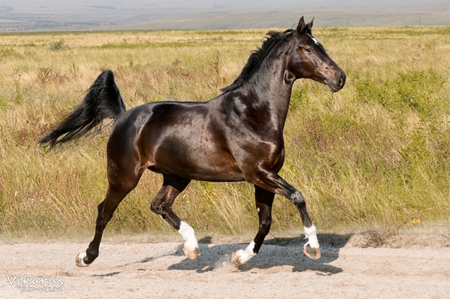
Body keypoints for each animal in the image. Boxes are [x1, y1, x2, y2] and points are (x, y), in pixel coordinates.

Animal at [39, 17, 348, 270]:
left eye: (321, 46)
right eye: (308, 49)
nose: (340, 78)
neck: (253, 112)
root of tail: (123, 116)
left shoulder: (266, 176)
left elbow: (265, 222)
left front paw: (239, 258)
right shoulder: (257, 173)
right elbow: (297, 196)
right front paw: (313, 248)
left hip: (177, 175)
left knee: (159, 205)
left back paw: (192, 247)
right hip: (124, 176)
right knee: (105, 211)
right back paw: (86, 257)